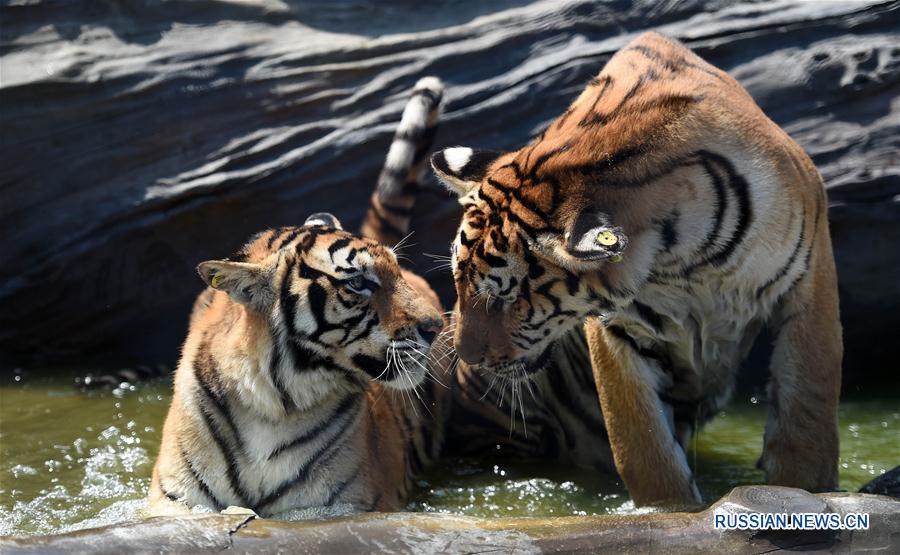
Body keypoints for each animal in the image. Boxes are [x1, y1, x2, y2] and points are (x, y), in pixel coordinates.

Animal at [150, 75, 454, 516]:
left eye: (395, 272)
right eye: (358, 283)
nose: (435, 327)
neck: (271, 407)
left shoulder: (339, 507)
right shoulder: (177, 501)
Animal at [428, 31, 844, 508]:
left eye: (505, 298)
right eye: (458, 282)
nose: (465, 356)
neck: (683, 259)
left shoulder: (809, 286)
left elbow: (806, 412)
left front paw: (805, 490)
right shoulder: (619, 331)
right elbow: (647, 452)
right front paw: (673, 512)